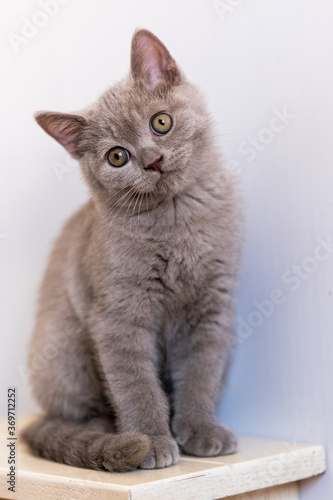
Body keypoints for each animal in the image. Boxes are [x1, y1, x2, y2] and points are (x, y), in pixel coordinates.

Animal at [22, 29, 241, 470]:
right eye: (117, 156)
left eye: (161, 122)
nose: (153, 160)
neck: (177, 221)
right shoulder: (118, 314)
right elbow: (135, 383)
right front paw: (152, 440)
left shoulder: (212, 306)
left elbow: (202, 372)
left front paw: (201, 429)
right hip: (63, 341)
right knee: (73, 412)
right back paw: (107, 433)